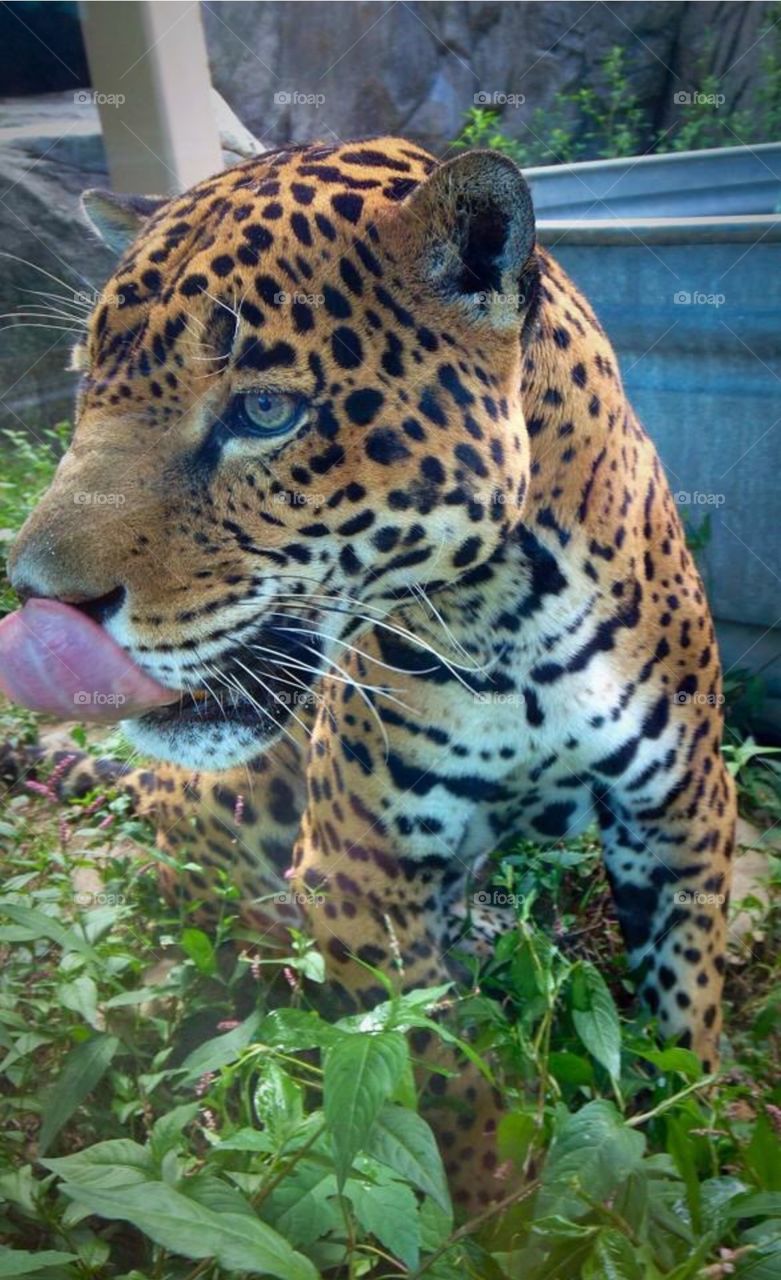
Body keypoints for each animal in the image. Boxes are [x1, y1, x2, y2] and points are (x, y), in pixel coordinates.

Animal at [1, 136, 735, 1212]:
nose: (32, 597)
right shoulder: (357, 869)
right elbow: (443, 1078)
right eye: (85, 386)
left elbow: (687, 1026)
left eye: (265, 410)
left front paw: (698, 1165)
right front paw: (505, 1212)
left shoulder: (682, 811)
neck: (512, 618)